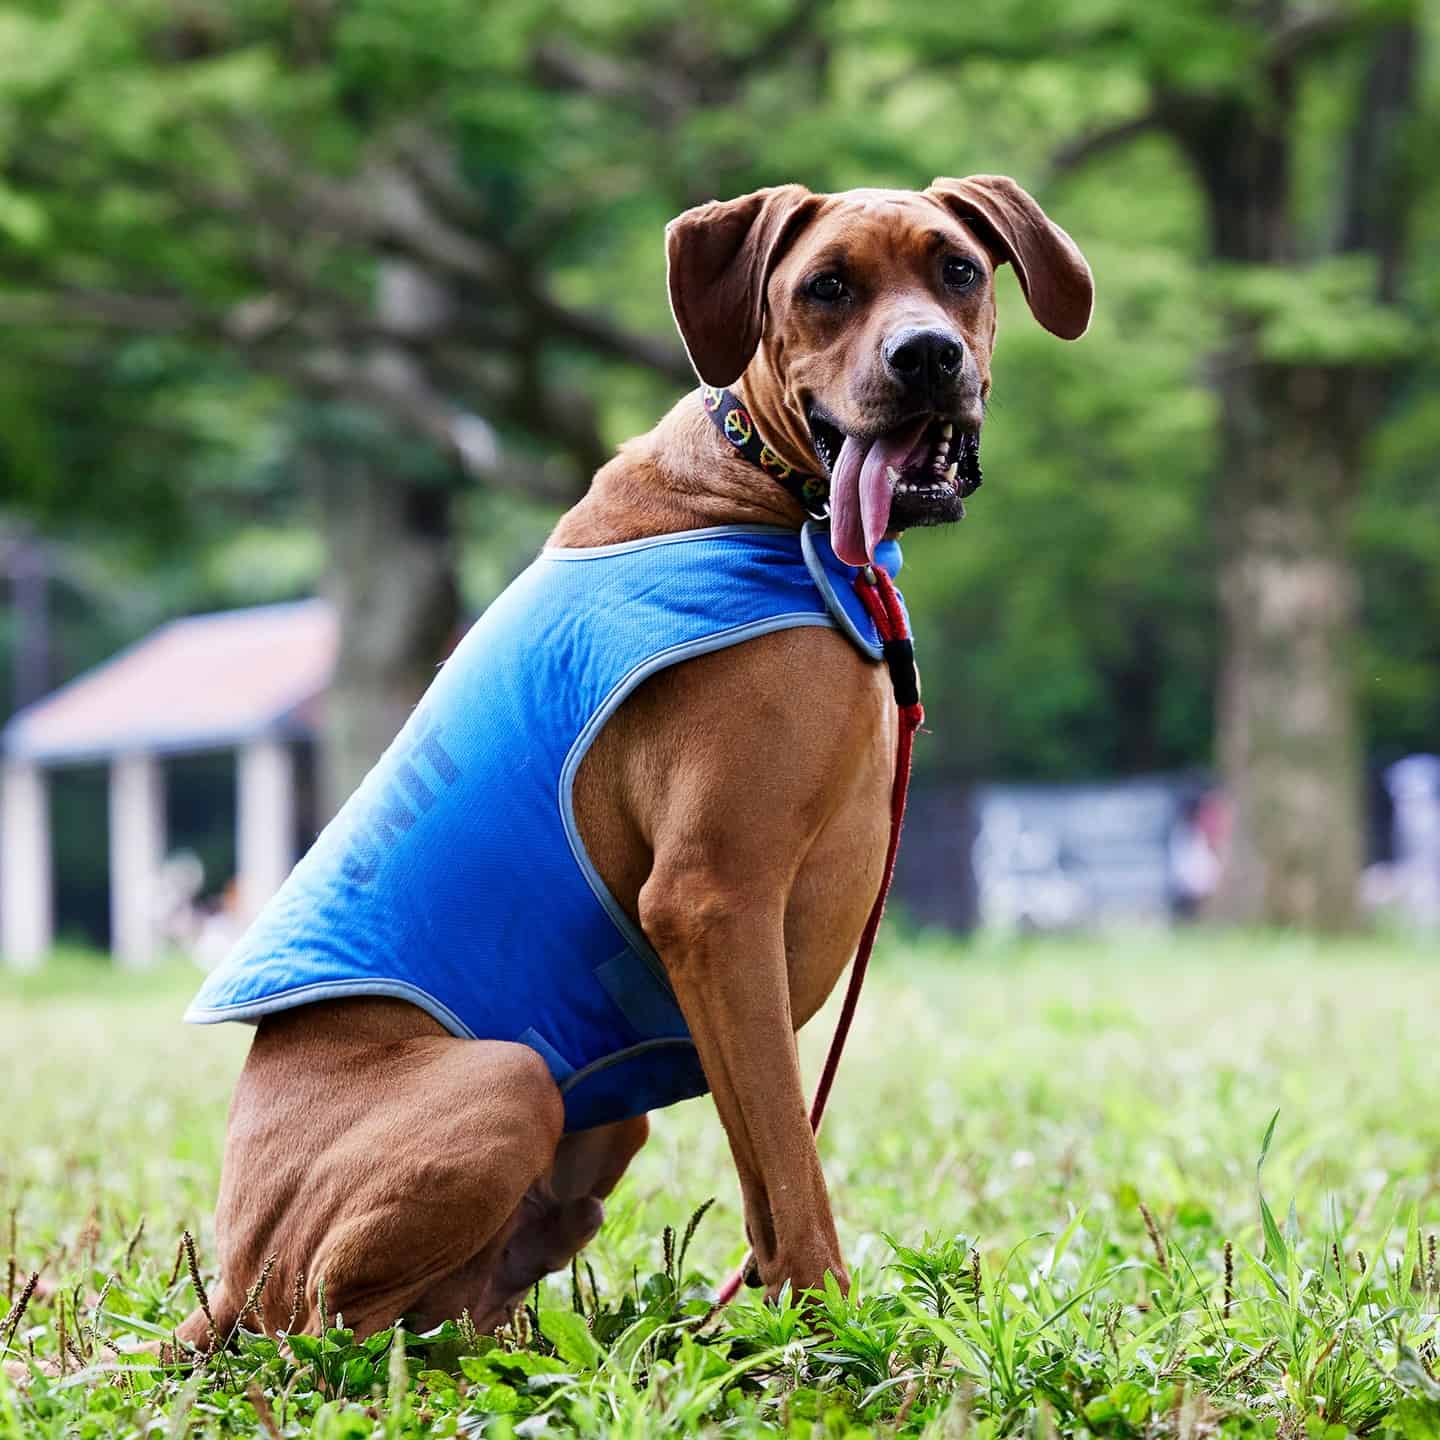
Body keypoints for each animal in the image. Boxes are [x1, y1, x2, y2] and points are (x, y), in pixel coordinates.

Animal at [180, 180, 1088, 1347]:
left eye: (960, 271)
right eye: (826, 287)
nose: (926, 355)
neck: (773, 499)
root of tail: (231, 1278)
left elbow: (767, 1173)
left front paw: (775, 1324)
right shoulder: (712, 904)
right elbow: (793, 1161)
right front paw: (831, 1334)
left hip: (598, 1132)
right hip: (507, 1084)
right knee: (336, 1328)